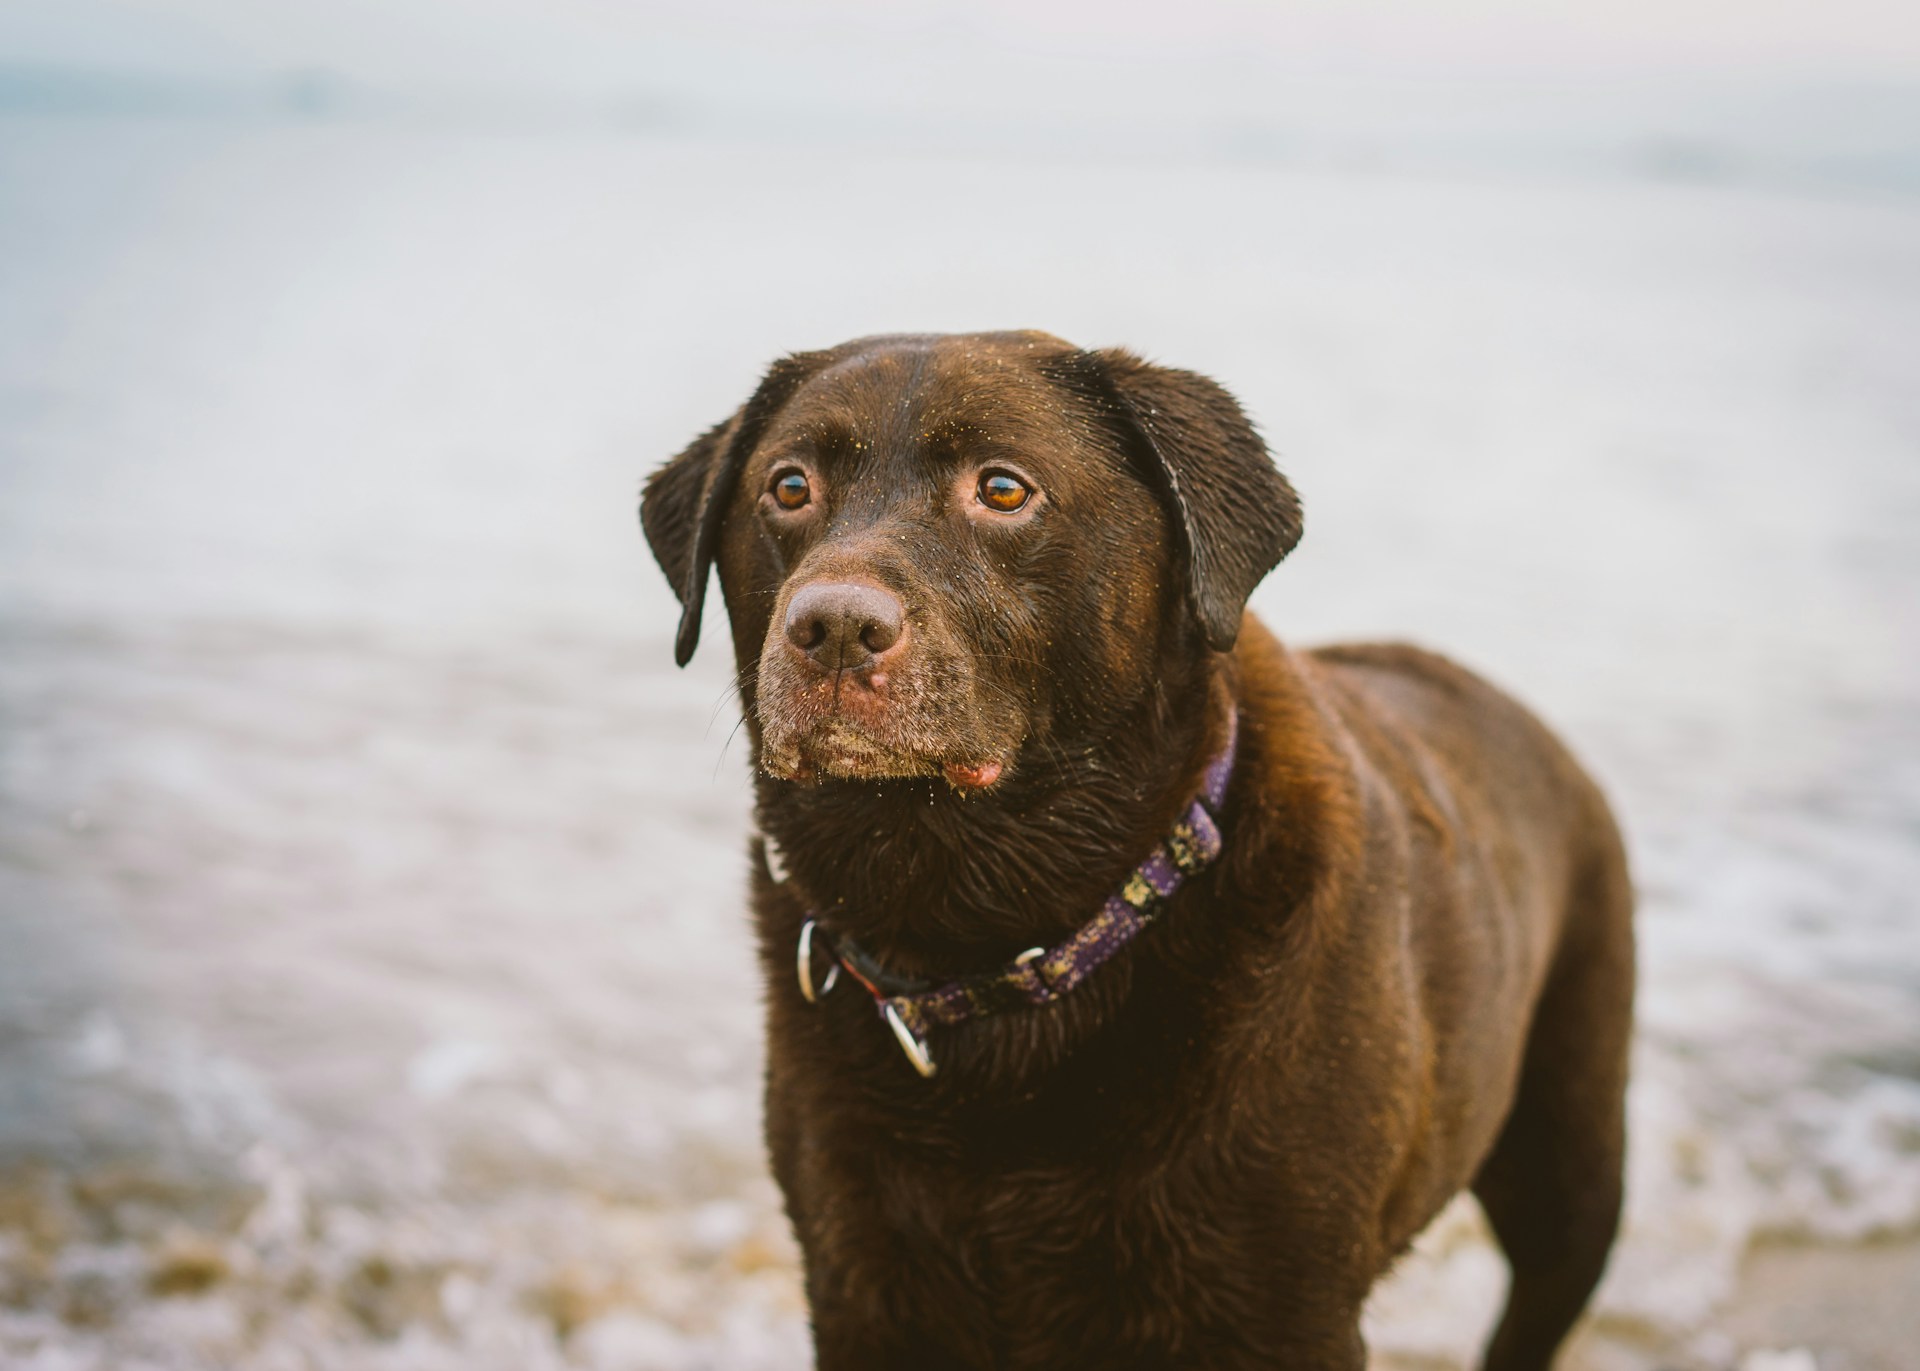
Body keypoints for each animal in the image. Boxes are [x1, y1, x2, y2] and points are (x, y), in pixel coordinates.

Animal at [637, 334, 1628, 1367]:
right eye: (789, 486)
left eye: (1003, 488)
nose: (833, 626)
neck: (988, 942)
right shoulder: (863, 1286)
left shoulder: (1283, 1305)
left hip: (1571, 1166)